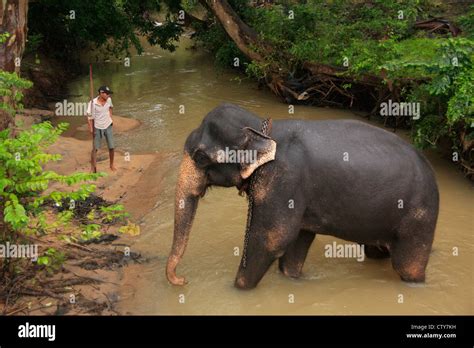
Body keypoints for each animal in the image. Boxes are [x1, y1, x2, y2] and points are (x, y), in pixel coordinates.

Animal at [165, 102, 438, 290]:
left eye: (201, 157)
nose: (183, 280)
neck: (261, 129)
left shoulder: (284, 180)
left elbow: (271, 239)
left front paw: (237, 289)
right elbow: (297, 242)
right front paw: (292, 278)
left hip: (419, 219)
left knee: (407, 266)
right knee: (377, 252)